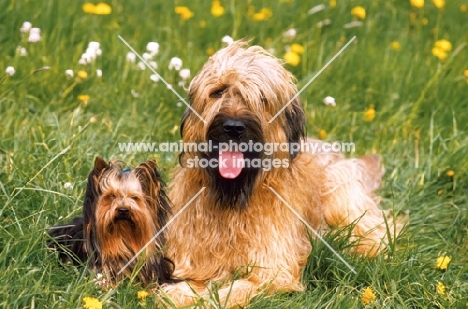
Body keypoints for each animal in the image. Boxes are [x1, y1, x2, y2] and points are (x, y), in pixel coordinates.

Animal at [163, 40, 400, 306]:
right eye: (218, 91)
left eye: (262, 98)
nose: (233, 128)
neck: (234, 197)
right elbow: (186, 283)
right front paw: (179, 294)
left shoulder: (273, 268)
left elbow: (239, 288)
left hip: (343, 194)